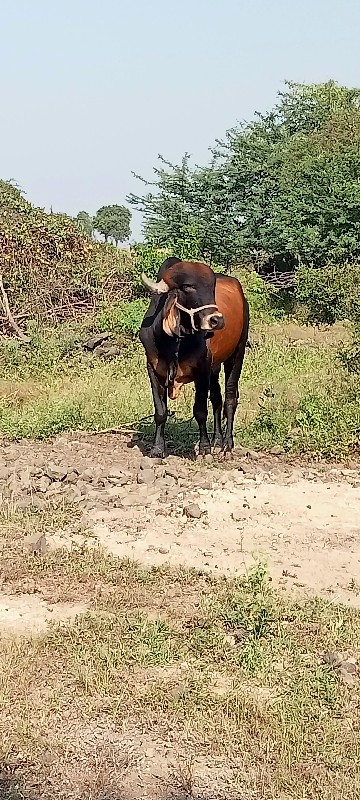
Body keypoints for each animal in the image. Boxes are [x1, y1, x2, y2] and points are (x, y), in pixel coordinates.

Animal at [139, 256, 249, 456]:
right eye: (188, 287)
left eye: (212, 287)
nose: (217, 320)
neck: (174, 340)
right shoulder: (152, 368)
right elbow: (160, 411)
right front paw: (157, 448)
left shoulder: (202, 370)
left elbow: (200, 411)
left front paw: (204, 448)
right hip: (215, 366)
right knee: (217, 398)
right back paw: (217, 440)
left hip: (237, 354)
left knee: (230, 398)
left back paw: (227, 444)